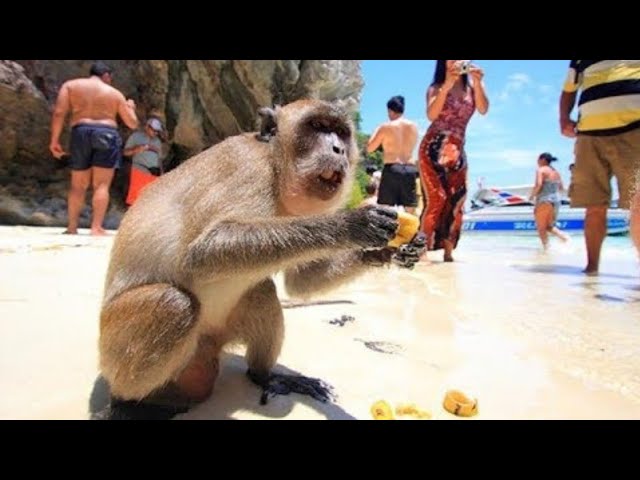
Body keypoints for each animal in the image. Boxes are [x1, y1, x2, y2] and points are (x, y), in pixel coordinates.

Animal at [97, 99, 416, 418]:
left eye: (340, 132)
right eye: (318, 127)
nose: (338, 149)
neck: (276, 168)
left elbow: (301, 281)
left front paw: (390, 250)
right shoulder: (246, 166)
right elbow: (202, 253)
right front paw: (353, 224)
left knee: (261, 290)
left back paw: (263, 375)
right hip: (112, 346)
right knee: (173, 304)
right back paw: (129, 401)